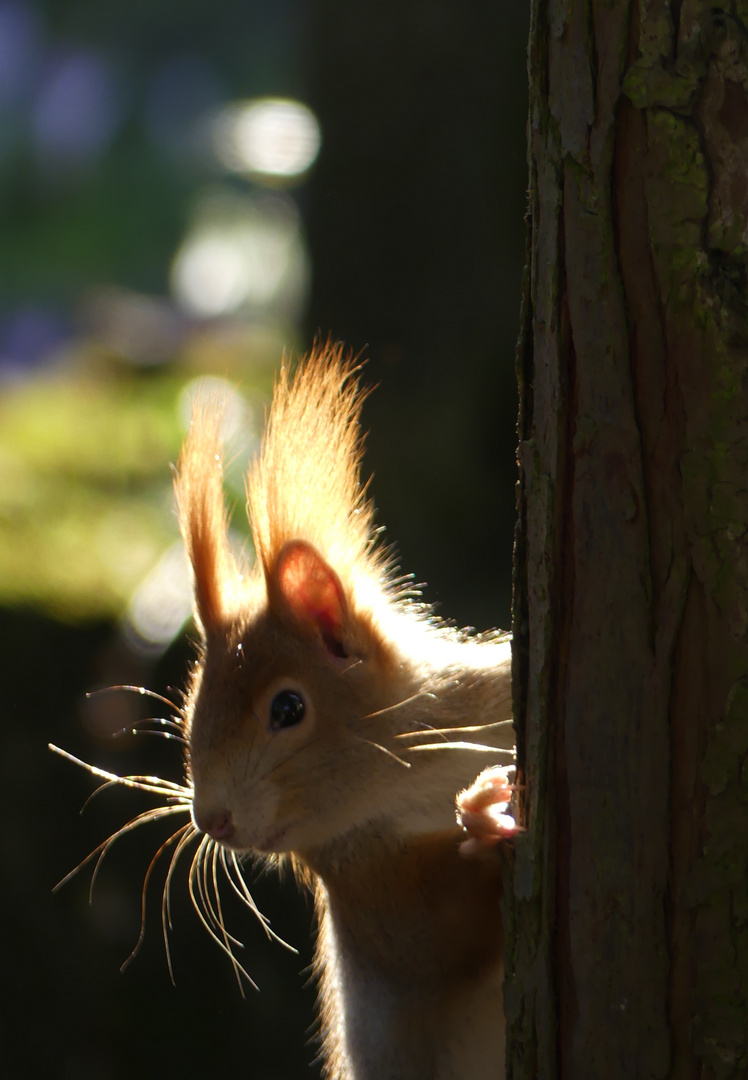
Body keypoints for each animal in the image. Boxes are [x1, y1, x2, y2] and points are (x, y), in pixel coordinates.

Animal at [58, 345, 515, 1080]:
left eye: (289, 708)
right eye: (189, 715)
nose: (211, 819)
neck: (420, 765)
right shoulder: (369, 891)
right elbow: (436, 936)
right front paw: (486, 811)